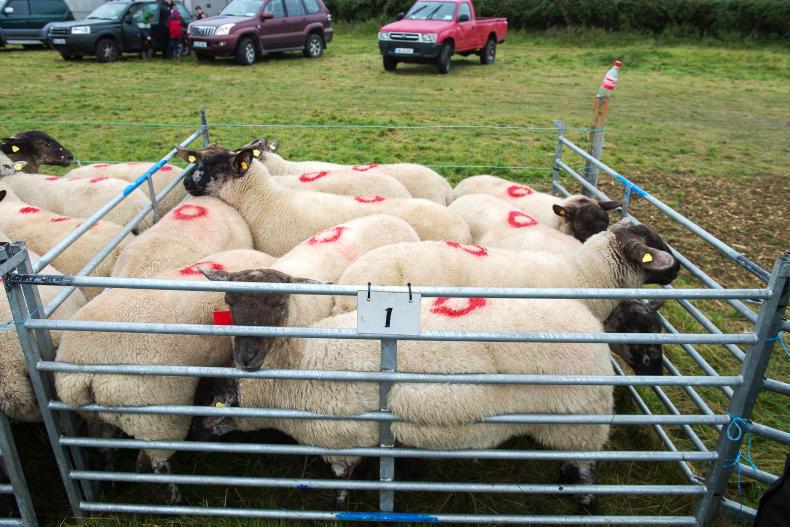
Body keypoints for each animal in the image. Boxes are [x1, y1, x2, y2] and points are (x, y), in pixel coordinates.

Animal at [198, 268, 614, 512]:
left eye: (276, 302)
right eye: (230, 301)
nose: (247, 358)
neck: (297, 367)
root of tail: (590, 325)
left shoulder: (341, 437)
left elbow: (341, 478)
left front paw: (340, 504)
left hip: (582, 420)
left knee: (590, 465)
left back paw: (587, 501)